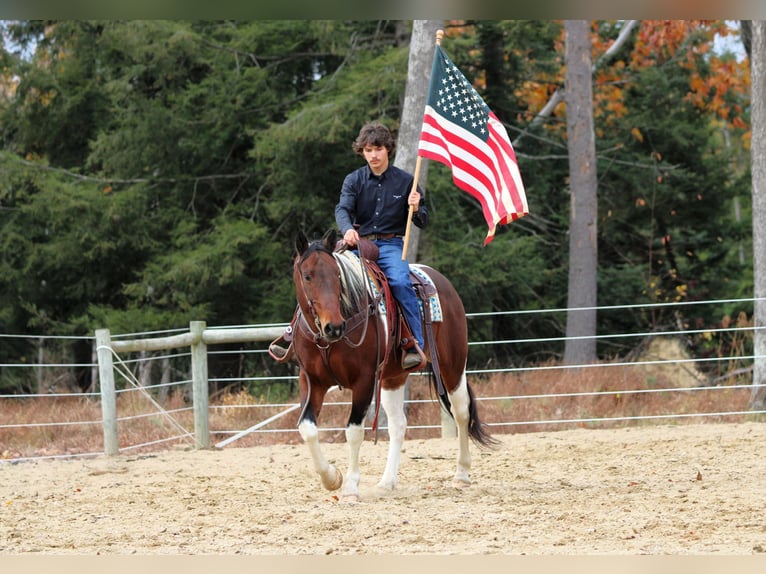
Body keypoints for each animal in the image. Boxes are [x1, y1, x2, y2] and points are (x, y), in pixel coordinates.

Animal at [288, 229, 496, 500]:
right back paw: (387, 482)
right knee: (398, 424)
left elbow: (354, 432)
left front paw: (351, 487)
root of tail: (439, 280)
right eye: (308, 276)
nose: (334, 327)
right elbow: (308, 428)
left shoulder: (364, 381)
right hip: (393, 378)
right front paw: (332, 478)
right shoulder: (312, 381)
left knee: (461, 412)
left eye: (337, 275)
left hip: (453, 366)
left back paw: (461, 474)